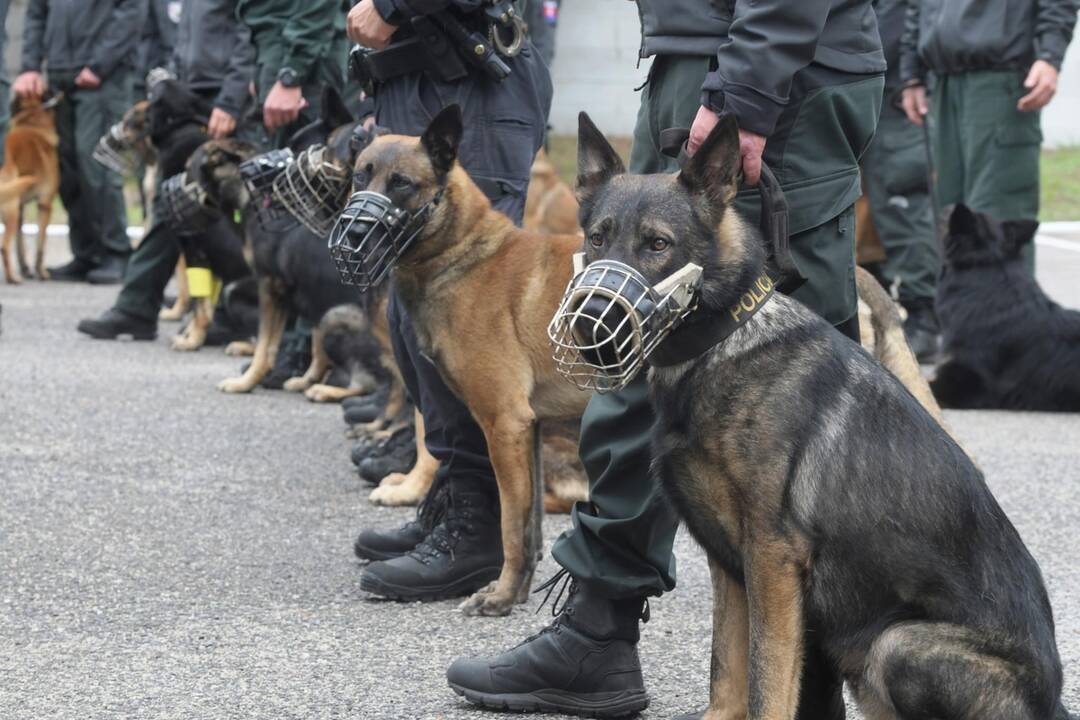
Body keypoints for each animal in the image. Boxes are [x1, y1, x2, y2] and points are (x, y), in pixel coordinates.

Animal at [0, 94, 60, 284]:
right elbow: (40, 245)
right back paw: (12, 278)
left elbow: (20, 245)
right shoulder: (45, 204)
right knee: (4, 246)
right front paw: (41, 272)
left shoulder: (20, 208)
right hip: (10, 208)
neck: (32, 123)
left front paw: (26, 268)